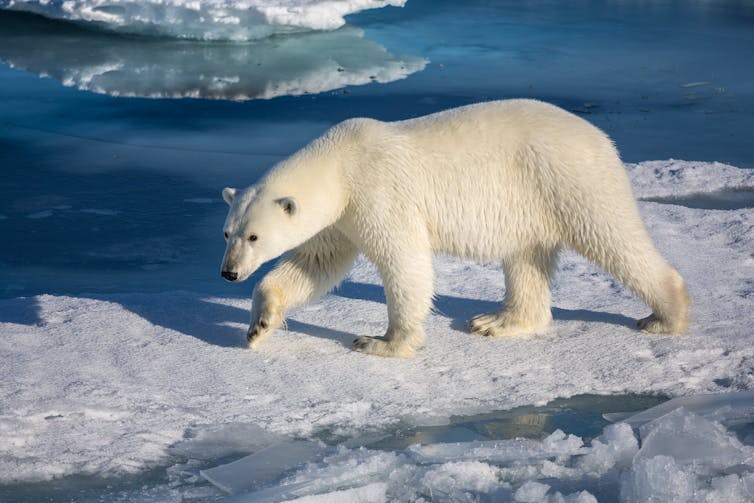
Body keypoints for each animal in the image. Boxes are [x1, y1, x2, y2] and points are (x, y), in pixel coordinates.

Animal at [219, 99, 688, 358]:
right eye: (227, 234)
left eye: (255, 236)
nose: (228, 272)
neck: (341, 163)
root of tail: (600, 137)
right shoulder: (341, 217)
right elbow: (315, 264)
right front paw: (258, 326)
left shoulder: (378, 192)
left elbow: (405, 262)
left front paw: (382, 343)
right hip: (529, 200)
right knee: (525, 258)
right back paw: (497, 321)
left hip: (570, 178)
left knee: (612, 237)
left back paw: (664, 315)